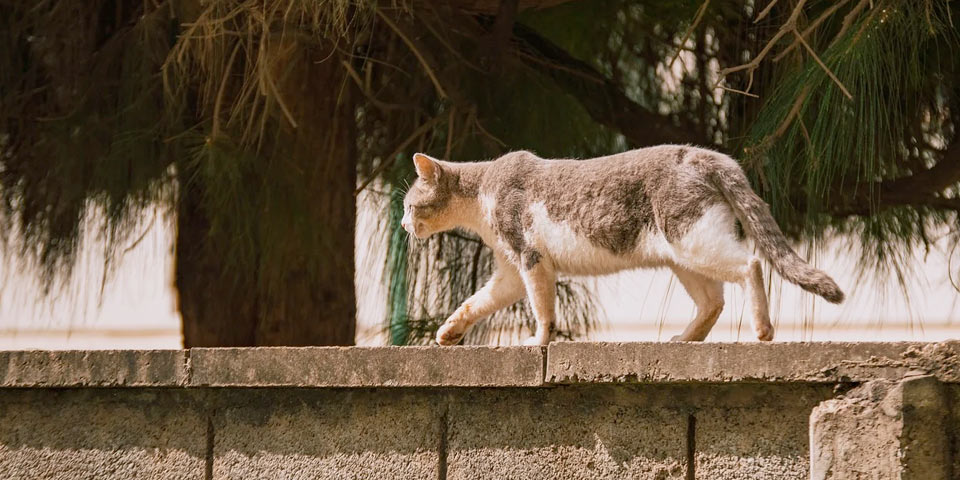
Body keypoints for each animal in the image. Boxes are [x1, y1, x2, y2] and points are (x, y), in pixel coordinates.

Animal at [402, 145, 844, 344]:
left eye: (408, 204)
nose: (404, 224)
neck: (481, 199)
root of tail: (705, 155)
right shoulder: (512, 271)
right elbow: (475, 302)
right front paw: (448, 331)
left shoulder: (531, 258)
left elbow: (543, 310)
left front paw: (538, 342)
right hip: (685, 257)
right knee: (713, 301)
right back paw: (684, 339)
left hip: (694, 241)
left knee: (750, 264)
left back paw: (763, 329)